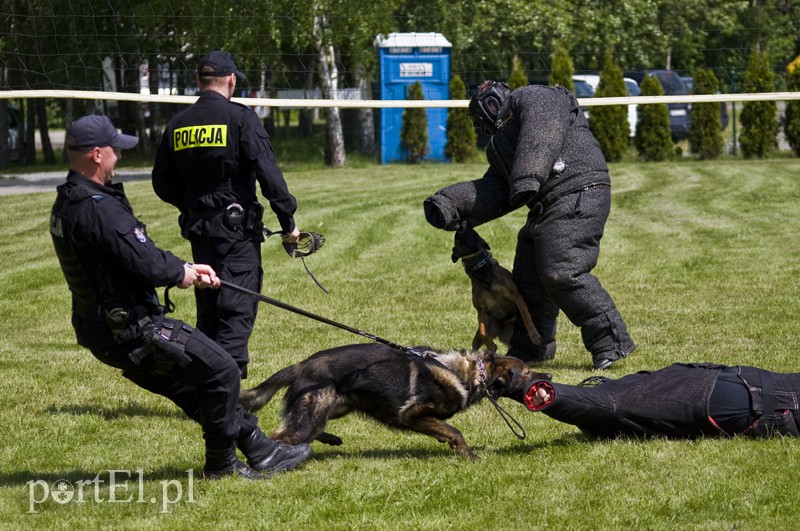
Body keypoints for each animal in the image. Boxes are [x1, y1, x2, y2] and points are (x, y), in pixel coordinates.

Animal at [238, 342, 552, 460]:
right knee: (282, 435)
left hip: (338, 406)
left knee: (305, 429)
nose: (548, 374)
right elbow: (455, 431)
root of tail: (299, 366)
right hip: (315, 413)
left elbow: (445, 430)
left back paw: (330, 440)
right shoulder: (412, 414)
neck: (471, 374)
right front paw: (468, 455)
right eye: (527, 372)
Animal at [454, 220, 540, 354]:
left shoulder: (516, 295)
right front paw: (490, 344)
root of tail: (502, 331)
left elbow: (526, 315)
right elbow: (483, 330)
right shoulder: (481, 310)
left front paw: (533, 334)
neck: (481, 270)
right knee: (475, 344)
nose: (463, 221)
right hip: (487, 329)